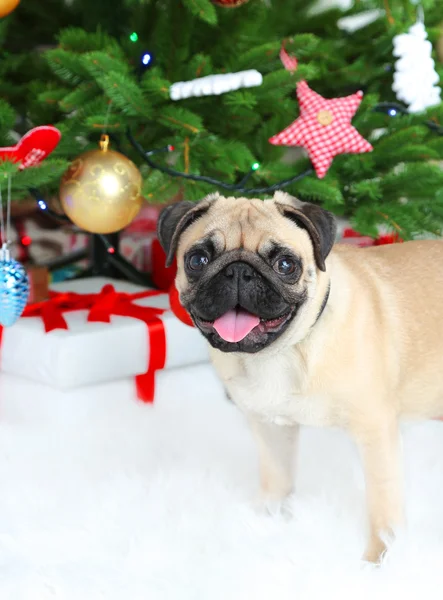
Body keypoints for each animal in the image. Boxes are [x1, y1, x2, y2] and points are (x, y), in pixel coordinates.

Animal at [155, 192, 443, 564]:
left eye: (285, 265)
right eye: (198, 260)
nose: (238, 271)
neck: (279, 354)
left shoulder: (376, 434)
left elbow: (383, 508)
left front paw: (378, 561)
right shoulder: (271, 428)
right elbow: (277, 479)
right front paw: (265, 521)